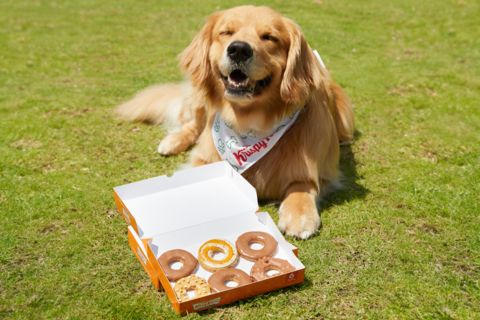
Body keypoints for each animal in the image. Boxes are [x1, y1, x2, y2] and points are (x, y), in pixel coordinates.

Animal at [117, 5, 352, 240]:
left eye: (269, 37)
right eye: (226, 32)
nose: (239, 49)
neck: (248, 123)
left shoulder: (313, 170)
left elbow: (302, 187)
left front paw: (300, 215)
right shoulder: (205, 157)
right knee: (192, 123)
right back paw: (173, 141)